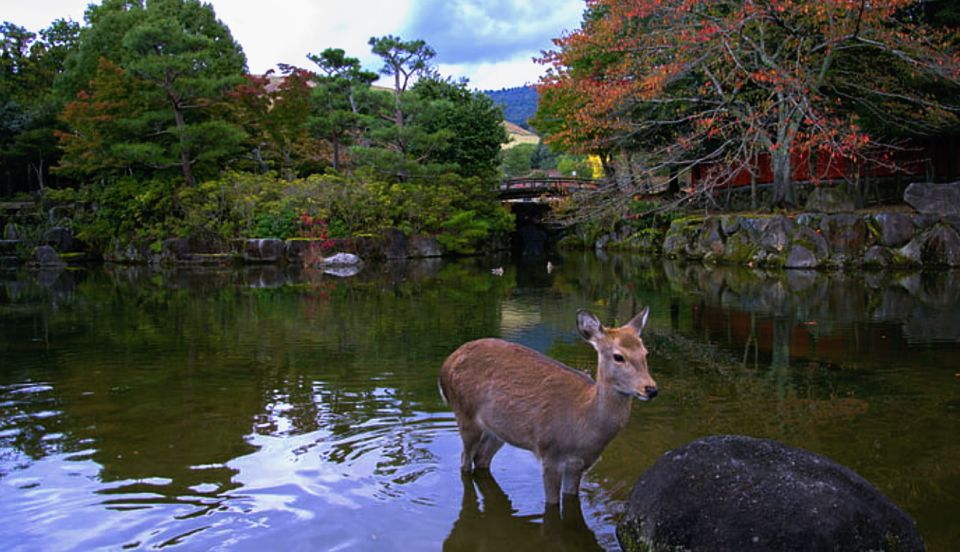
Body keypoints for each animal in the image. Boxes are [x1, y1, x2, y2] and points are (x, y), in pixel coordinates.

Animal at [438, 308, 656, 506]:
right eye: (618, 356)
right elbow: (551, 504)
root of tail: (445, 365)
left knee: (481, 458)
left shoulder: (579, 464)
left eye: (645, 353)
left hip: (499, 430)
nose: (651, 389)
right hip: (465, 414)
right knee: (465, 460)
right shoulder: (550, 453)